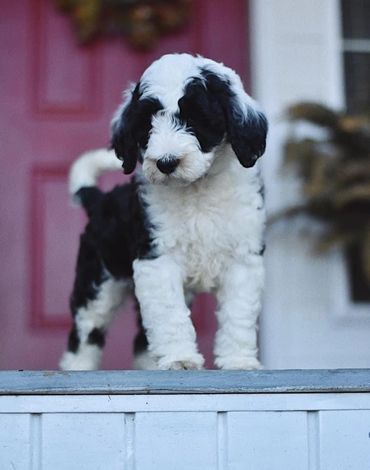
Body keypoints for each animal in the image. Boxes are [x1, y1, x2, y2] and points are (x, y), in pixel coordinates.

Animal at [60, 52, 268, 370]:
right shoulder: (157, 259)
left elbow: (238, 314)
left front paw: (238, 361)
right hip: (97, 280)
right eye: (147, 123)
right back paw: (78, 369)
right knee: (85, 331)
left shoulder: (243, 258)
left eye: (195, 118)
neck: (197, 191)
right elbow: (170, 315)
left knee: (140, 339)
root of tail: (100, 200)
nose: (166, 162)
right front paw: (181, 358)